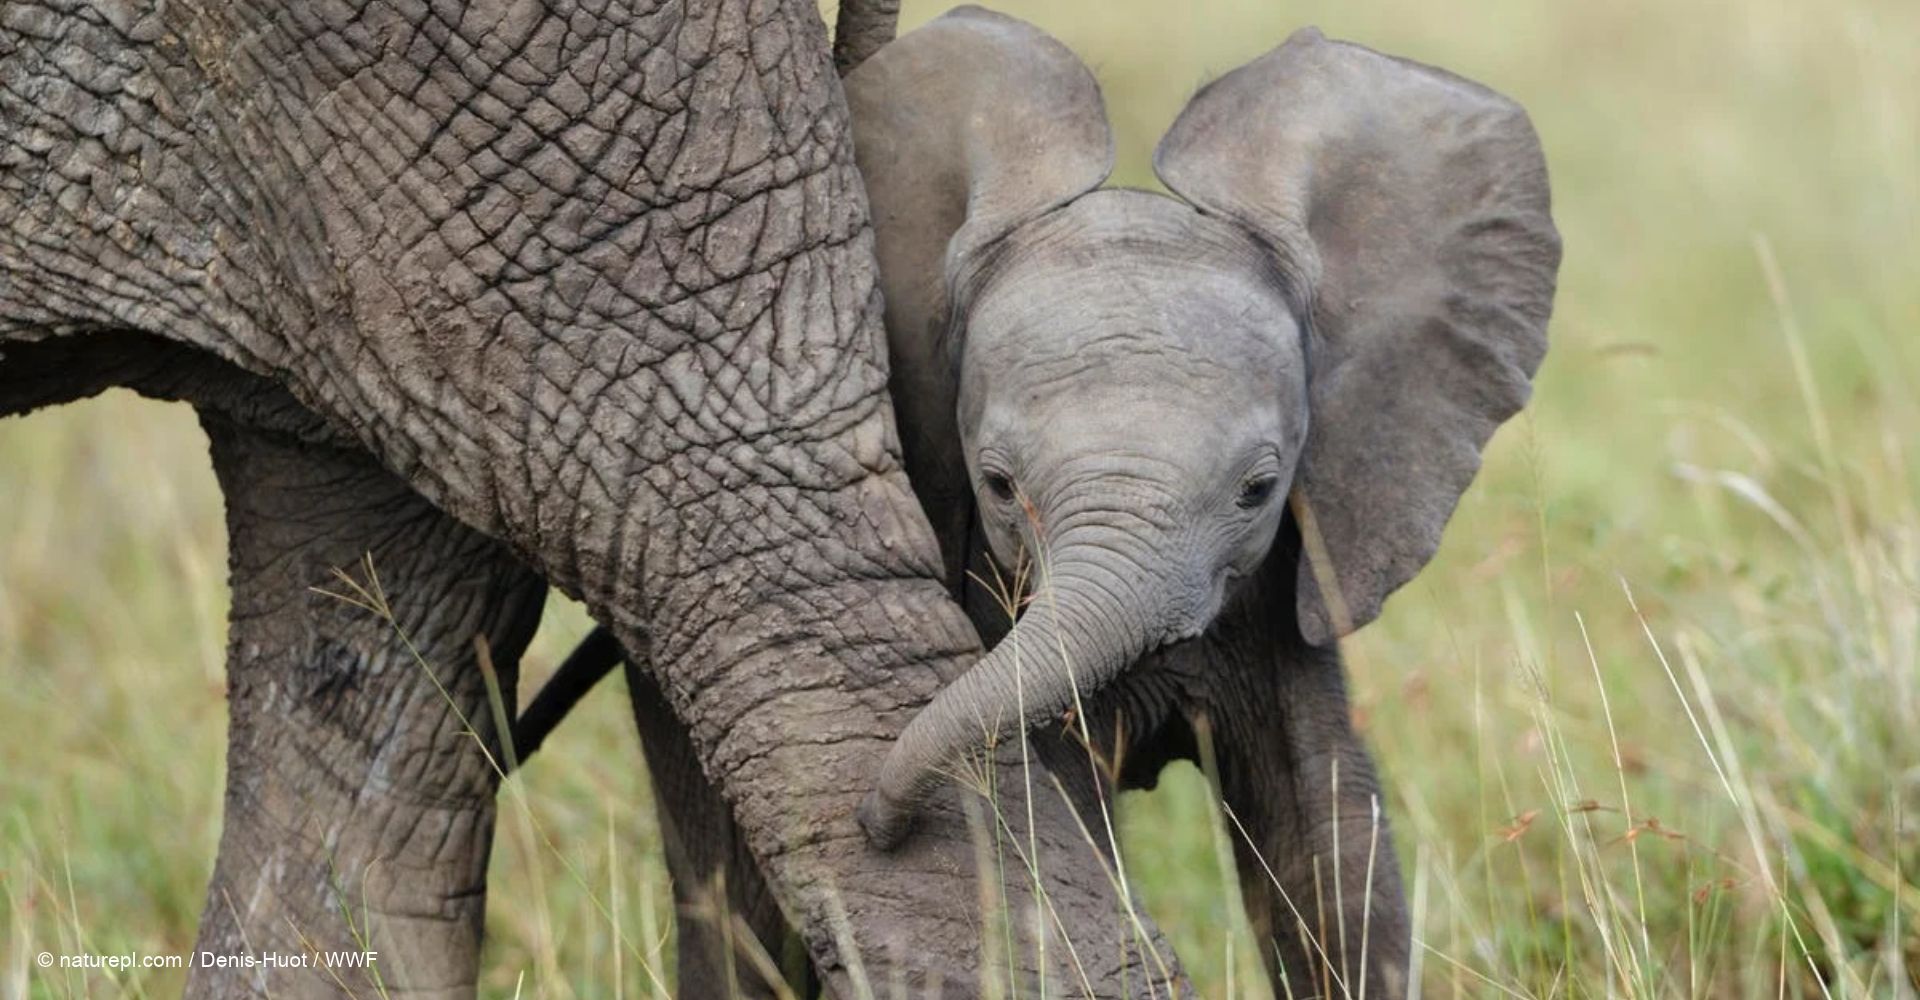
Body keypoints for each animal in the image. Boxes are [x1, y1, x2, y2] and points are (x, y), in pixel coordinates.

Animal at [521, 7, 1559, 996]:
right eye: (997, 486)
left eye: (1260, 491)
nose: (878, 818)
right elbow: (1076, 812)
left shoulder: (1282, 592)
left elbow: (1332, 838)